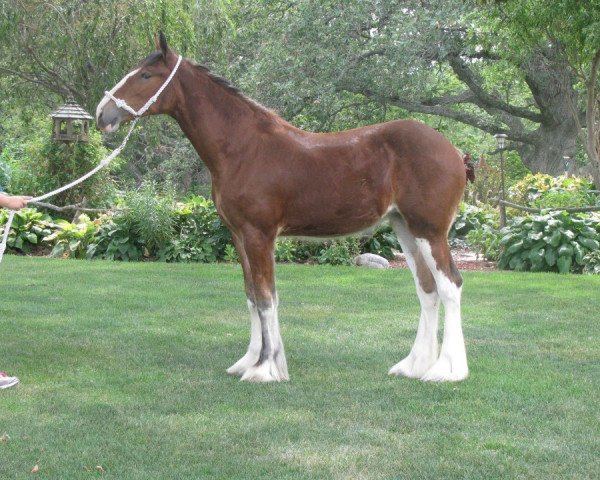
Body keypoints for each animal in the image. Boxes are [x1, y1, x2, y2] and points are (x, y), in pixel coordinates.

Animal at [96, 34, 468, 382]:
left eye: (146, 75)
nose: (102, 114)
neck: (244, 147)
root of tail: (455, 152)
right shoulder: (239, 235)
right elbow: (251, 296)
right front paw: (249, 360)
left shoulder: (259, 235)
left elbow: (266, 298)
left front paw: (265, 369)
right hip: (405, 228)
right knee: (427, 290)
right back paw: (414, 366)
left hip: (430, 231)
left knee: (450, 286)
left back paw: (447, 370)